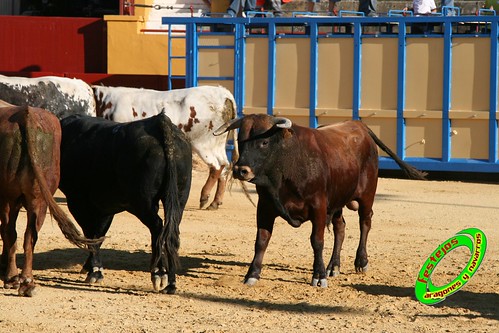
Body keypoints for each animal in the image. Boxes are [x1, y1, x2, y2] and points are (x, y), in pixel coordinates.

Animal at [0, 104, 99, 296]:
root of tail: (26, 114)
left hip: (10, 198)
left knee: (12, 233)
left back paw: (13, 278)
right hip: (38, 201)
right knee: (27, 235)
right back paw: (26, 282)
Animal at [58, 112, 191, 294]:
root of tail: (159, 121)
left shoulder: (77, 202)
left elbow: (91, 234)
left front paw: (95, 271)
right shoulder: (106, 207)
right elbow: (98, 235)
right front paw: (91, 267)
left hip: (143, 203)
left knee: (157, 228)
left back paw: (158, 273)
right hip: (179, 198)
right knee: (172, 231)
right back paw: (171, 283)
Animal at [93, 84, 238, 209]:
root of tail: (223, 93)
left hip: (203, 144)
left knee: (216, 166)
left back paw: (204, 196)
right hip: (217, 144)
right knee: (225, 166)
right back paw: (215, 202)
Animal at [214, 113, 426, 286]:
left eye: (264, 142)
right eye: (240, 140)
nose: (241, 170)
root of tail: (358, 125)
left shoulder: (319, 207)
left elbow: (317, 241)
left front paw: (319, 276)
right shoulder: (265, 206)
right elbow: (261, 240)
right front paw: (252, 274)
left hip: (367, 195)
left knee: (365, 222)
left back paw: (361, 261)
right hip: (338, 200)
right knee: (340, 228)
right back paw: (334, 266)